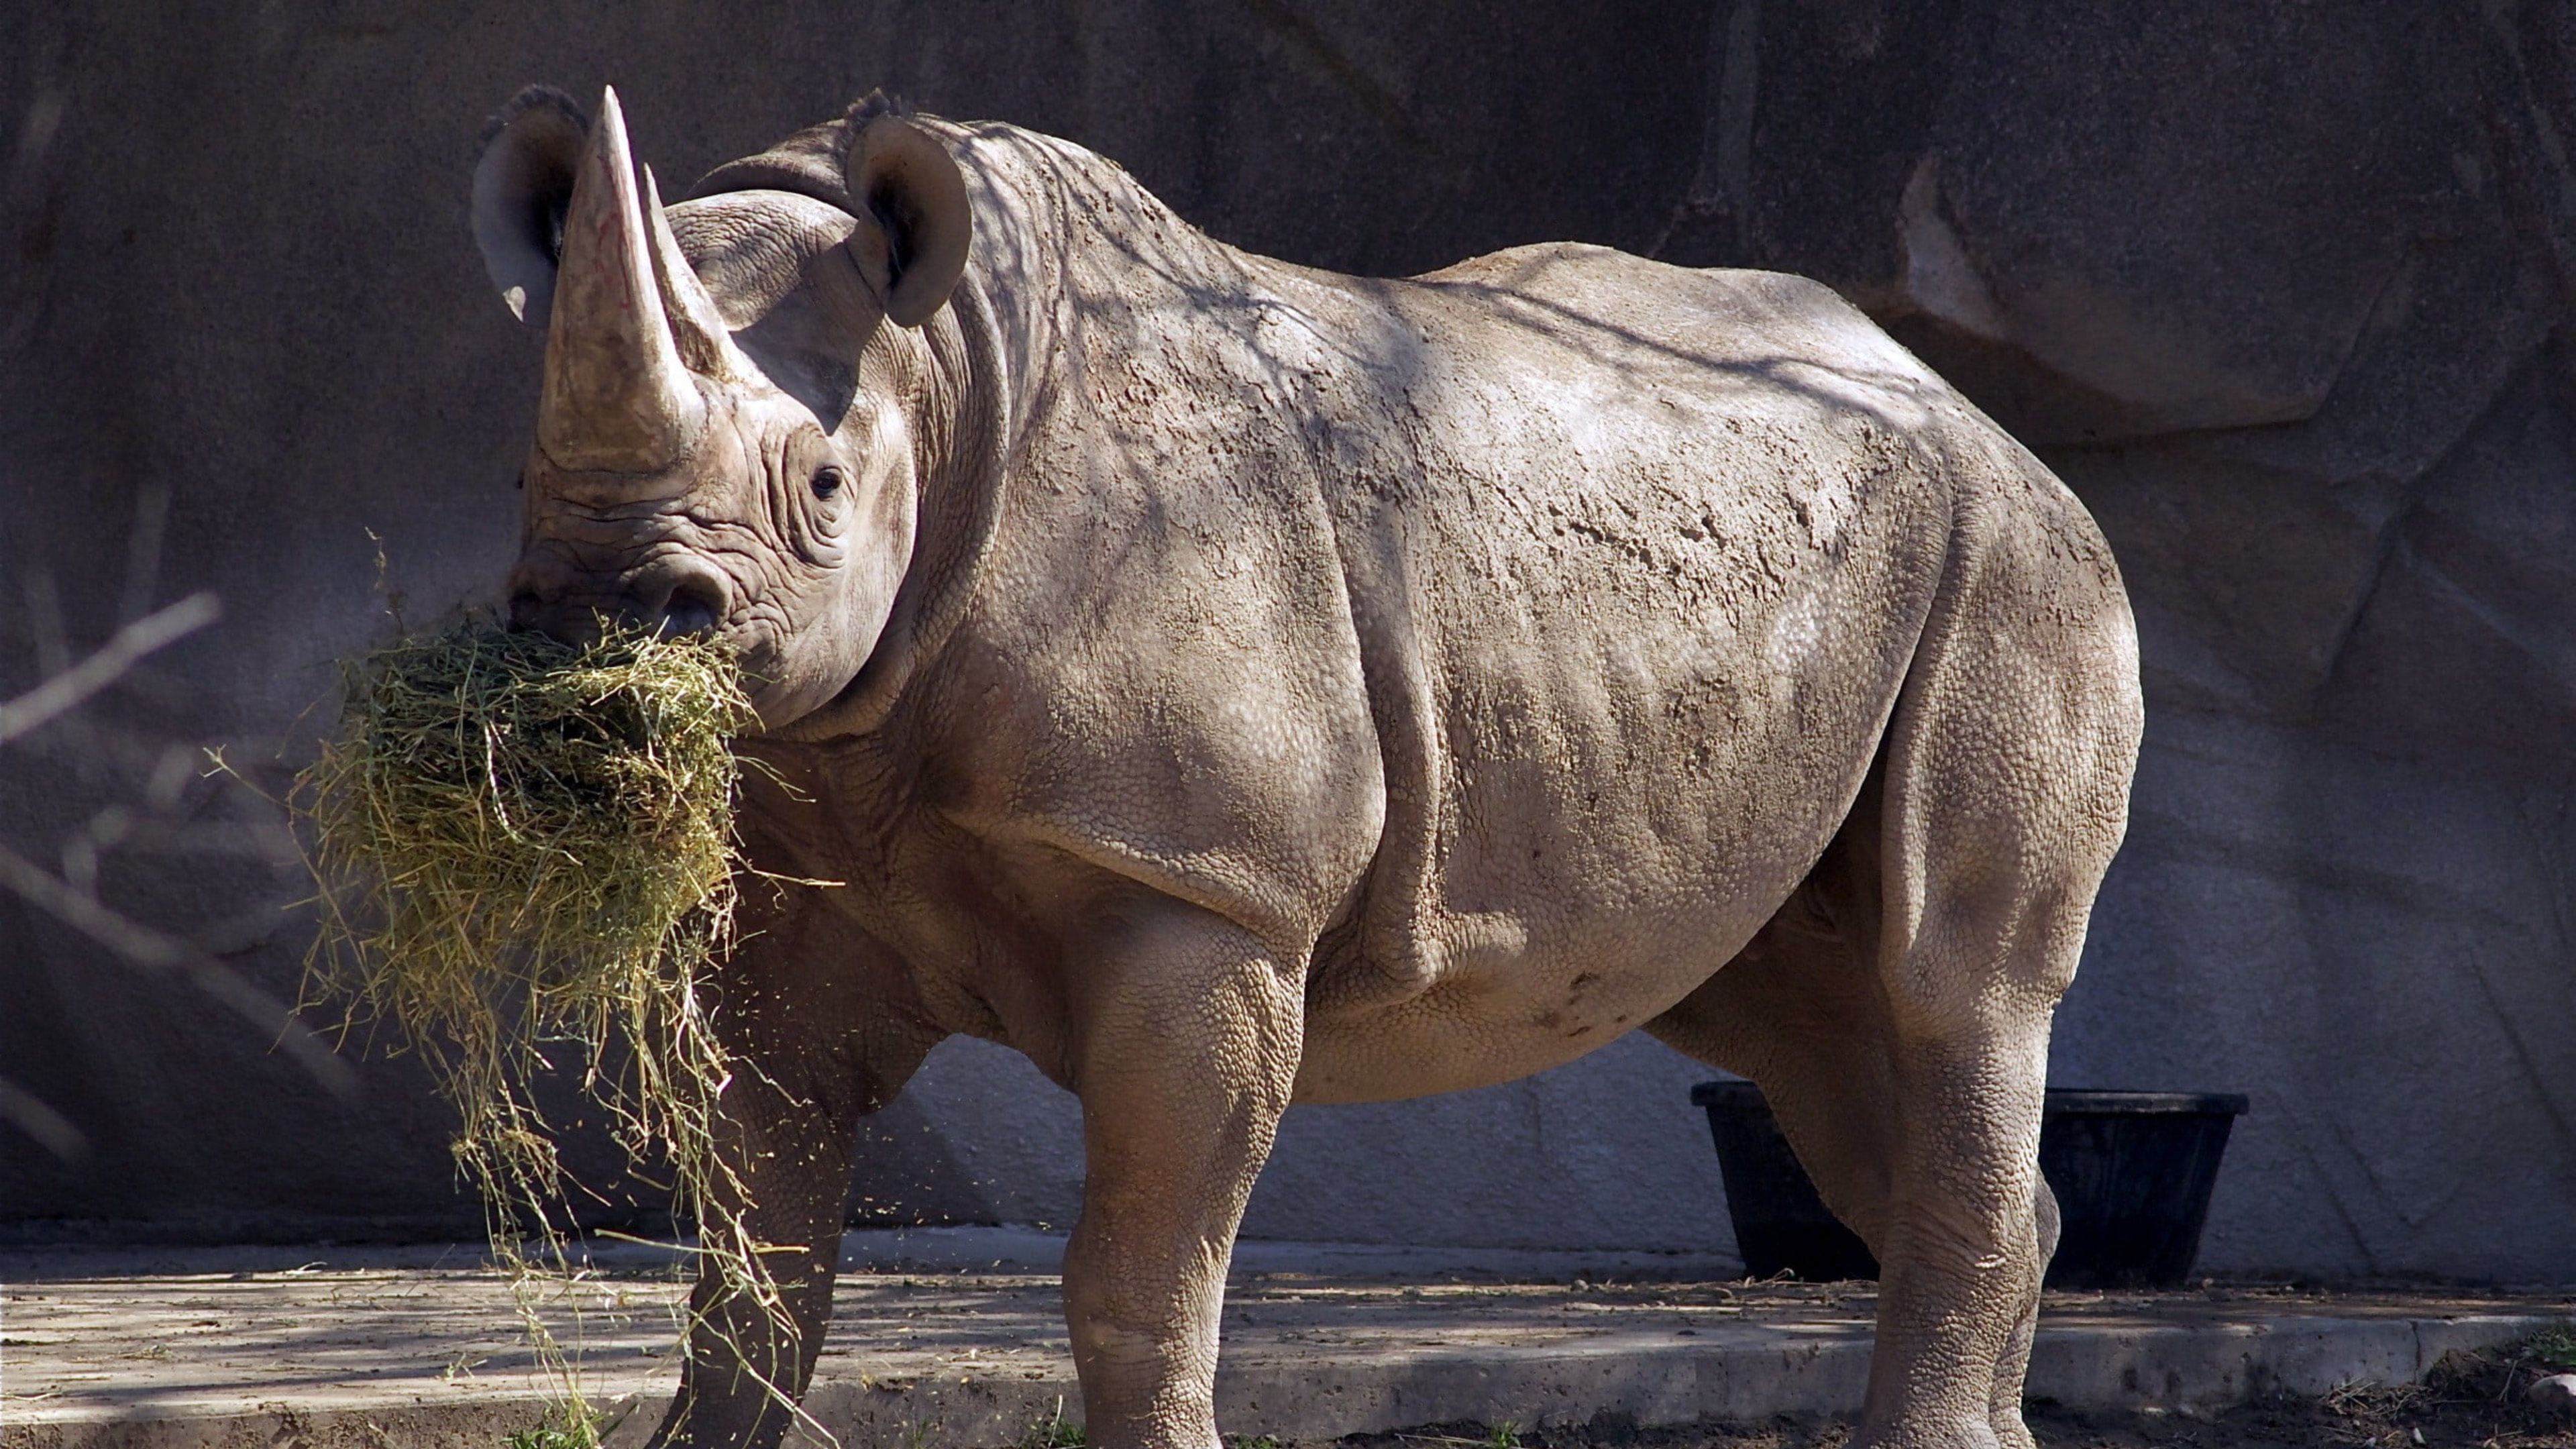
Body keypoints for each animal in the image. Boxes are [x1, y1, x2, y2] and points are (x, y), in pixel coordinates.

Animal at [466, 83, 2141, 1449]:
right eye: (523, 476)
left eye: (821, 488)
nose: (609, 611)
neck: (941, 380)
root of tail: (1974, 410)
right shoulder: (791, 891)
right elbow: (756, 1271)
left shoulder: (1207, 893)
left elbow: (1139, 1275)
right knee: (1808, 1028)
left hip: (2018, 567)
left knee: (1957, 986)